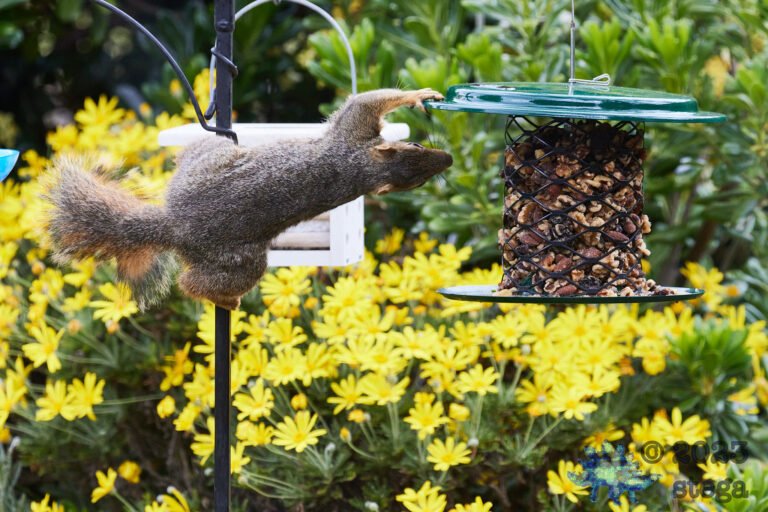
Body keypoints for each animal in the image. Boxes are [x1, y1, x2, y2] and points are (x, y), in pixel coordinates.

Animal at [47, 88, 452, 311]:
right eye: (416, 147)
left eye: (418, 181)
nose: (447, 160)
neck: (363, 169)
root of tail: (175, 225)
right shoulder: (351, 131)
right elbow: (369, 100)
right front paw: (420, 95)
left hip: (229, 228)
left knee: (190, 284)